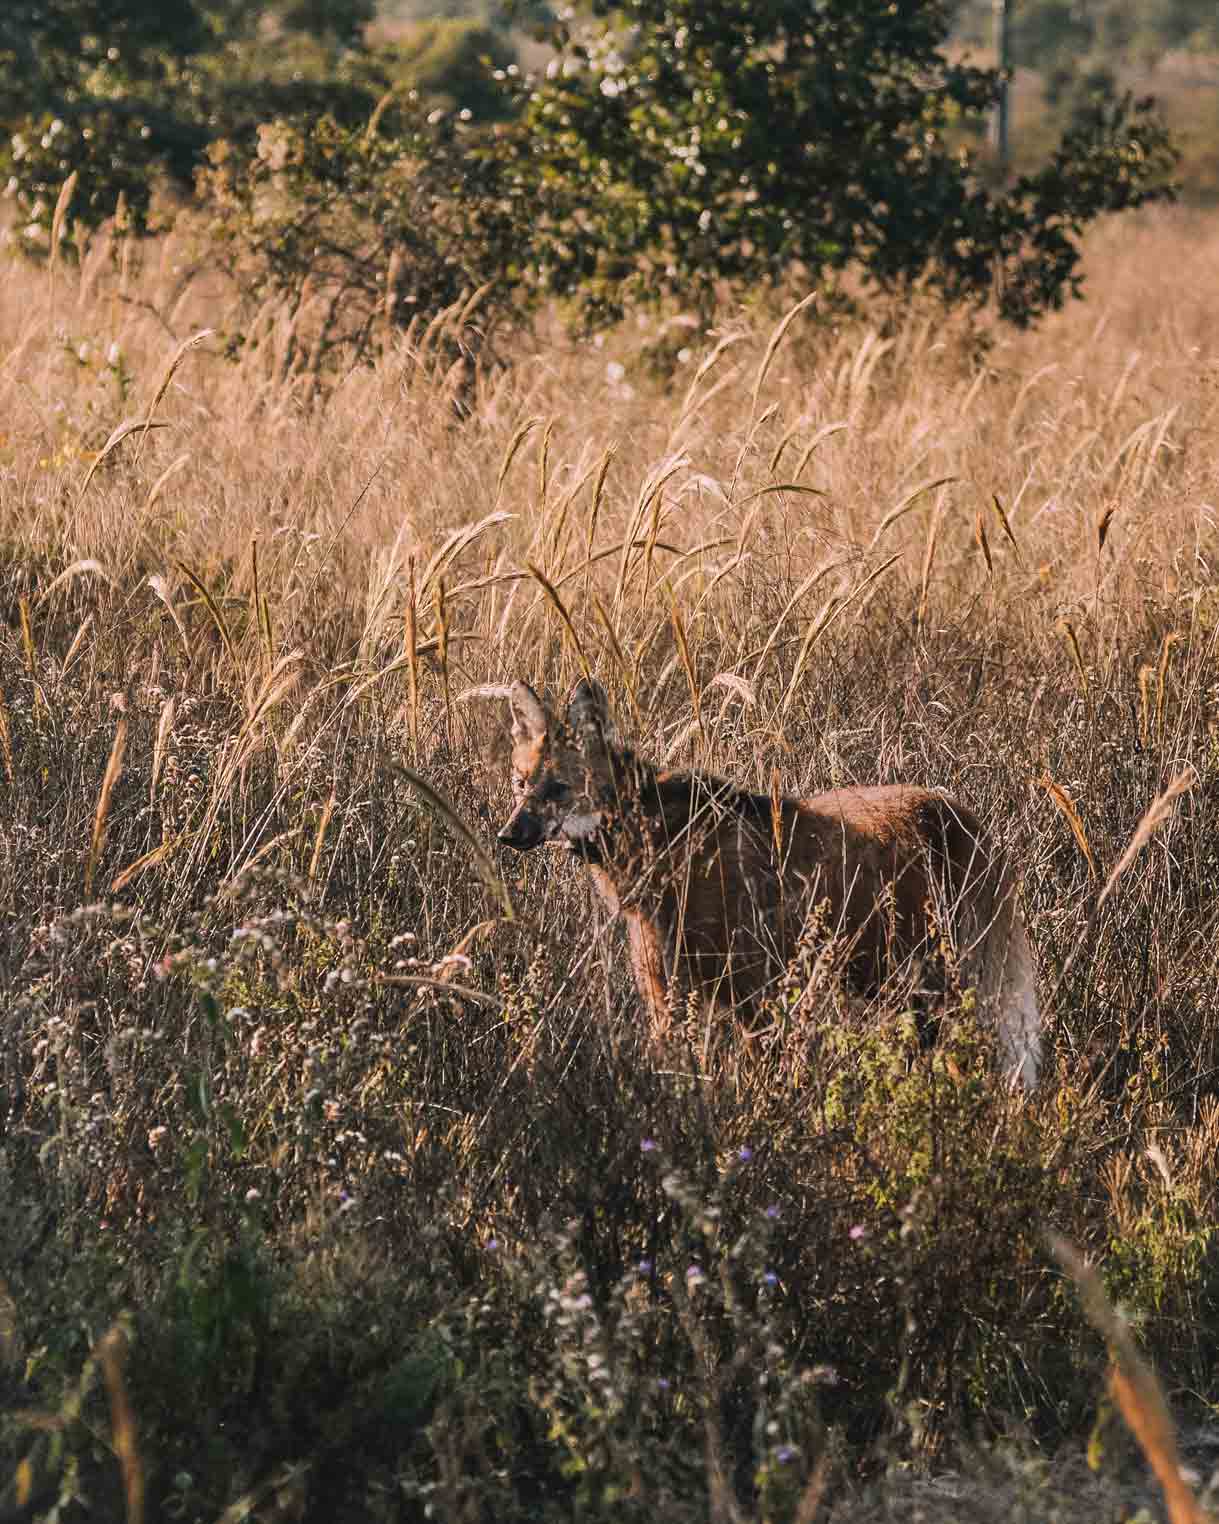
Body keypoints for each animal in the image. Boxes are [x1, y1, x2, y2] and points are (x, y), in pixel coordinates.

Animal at [493, 676, 1036, 1085]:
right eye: (521, 784)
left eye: (558, 789)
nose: (508, 834)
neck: (658, 839)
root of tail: (960, 815)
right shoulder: (671, 994)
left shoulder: (754, 993)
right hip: (894, 983)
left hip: (937, 979)